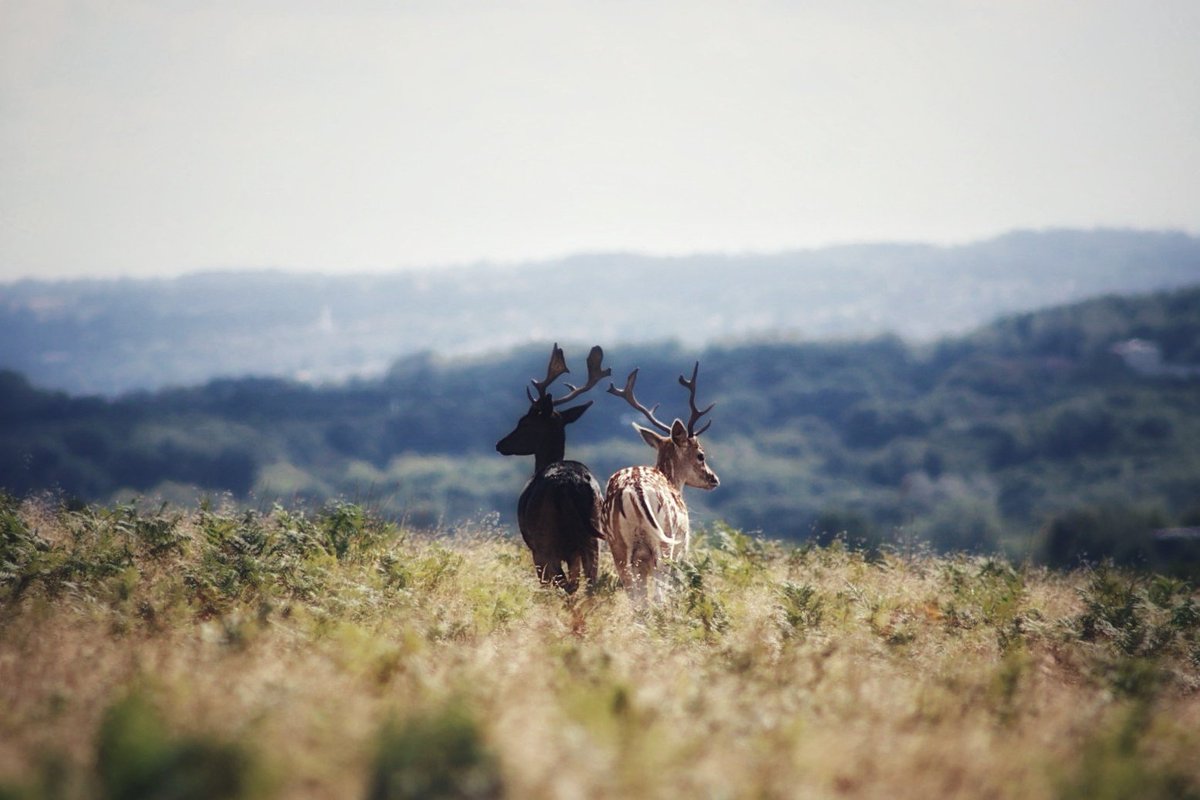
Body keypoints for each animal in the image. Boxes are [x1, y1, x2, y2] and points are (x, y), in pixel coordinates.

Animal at [496, 344, 610, 593]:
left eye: (524, 422)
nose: (500, 444)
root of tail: (573, 486)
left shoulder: (536, 549)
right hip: (593, 538)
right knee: (589, 584)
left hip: (547, 539)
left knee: (565, 585)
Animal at [603, 362, 720, 599]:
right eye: (701, 455)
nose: (714, 479)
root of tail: (635, 489)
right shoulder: (682, 548)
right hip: (665, 543)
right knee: (658, 595)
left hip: (618, 545)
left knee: (635, 597)